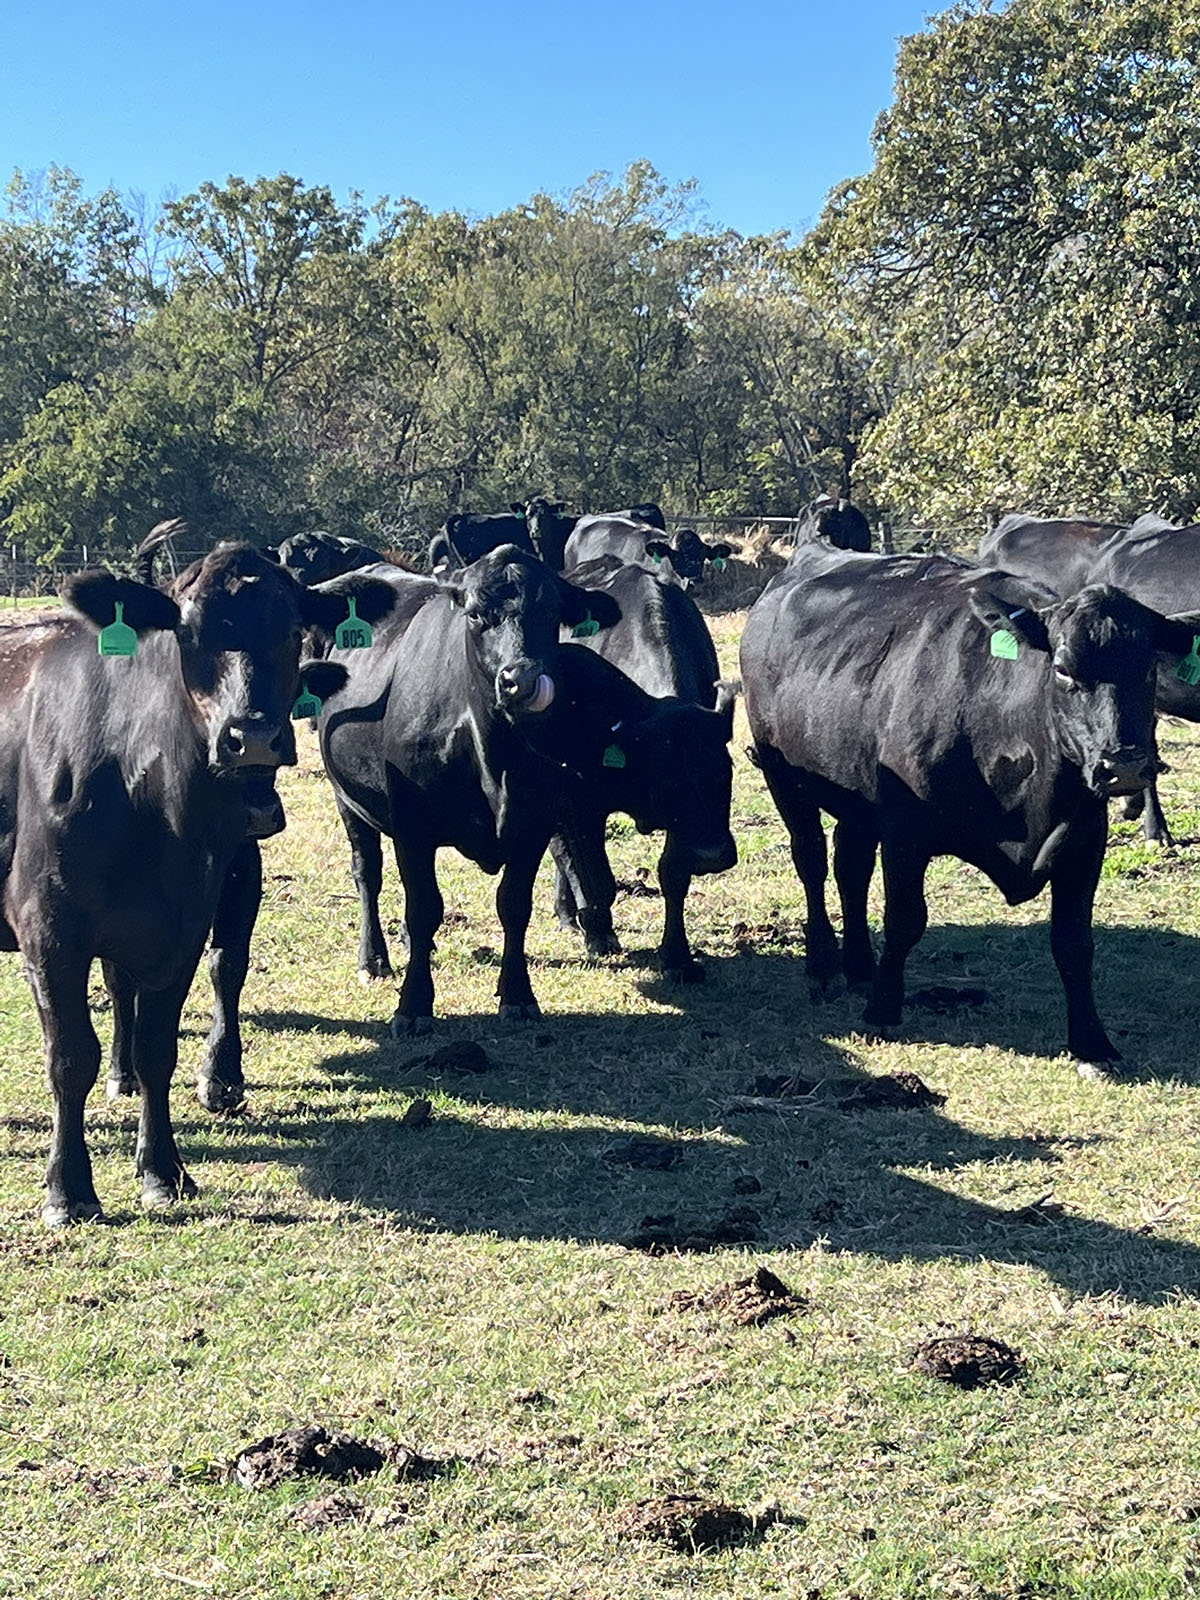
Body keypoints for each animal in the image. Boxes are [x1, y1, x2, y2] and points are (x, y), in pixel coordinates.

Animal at [0, 537, 397, 1224]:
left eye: (293, 629)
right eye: (187, 632)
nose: (253, 738)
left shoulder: (183, 921)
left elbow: (160, 1046)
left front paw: (162, 1170)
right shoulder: (46, 926)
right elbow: (69, 1057)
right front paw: (68, 1188)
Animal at [548, 556, 737, 979]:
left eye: (725, 773)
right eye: (667, 781)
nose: (712, 855)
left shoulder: (685, 827)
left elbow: (674, 873)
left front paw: (678, 957)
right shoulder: (578, 799)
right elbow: (596, 877)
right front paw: (599, 934)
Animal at [740, 542, 1200, 1075]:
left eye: (1149, 669)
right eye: (1064, 669)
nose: (1122, 765)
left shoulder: (1085, 839)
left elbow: (1074, 943)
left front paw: (1092, 1043)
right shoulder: (906, 829)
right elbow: (905, 918)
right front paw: (883, 1009)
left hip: (858, 798)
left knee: (850, 867)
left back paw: (859, 966)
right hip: (782, 776)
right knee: (812, 860)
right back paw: (823, 965)